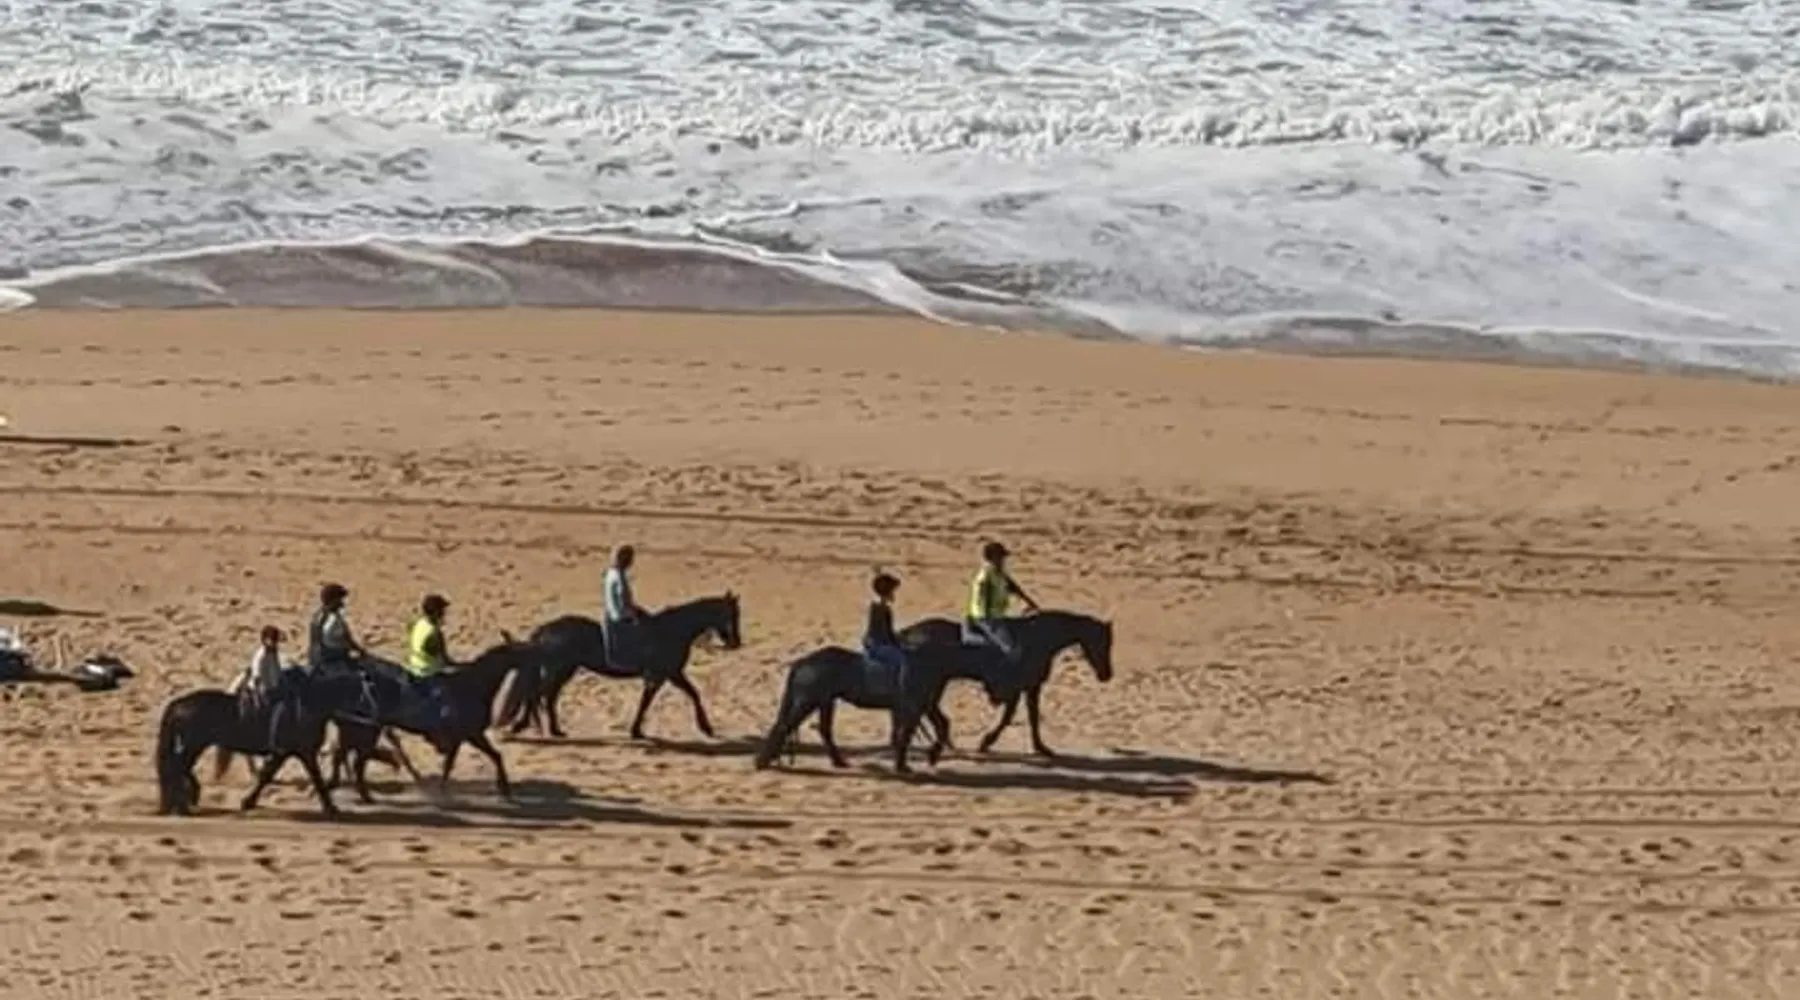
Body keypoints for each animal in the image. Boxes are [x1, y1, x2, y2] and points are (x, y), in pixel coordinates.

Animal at [153, 669, 368, 818]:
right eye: (365, 694)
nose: (367, 722)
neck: (307, 707)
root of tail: (179, 703)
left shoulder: (285, 752)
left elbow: (267, 775)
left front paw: (248, 802)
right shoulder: (302, 752)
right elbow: (315, 778)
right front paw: (332, 807)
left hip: (194, 746)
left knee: (179, 767)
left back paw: (184, 801)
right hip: (194, 745)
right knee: (176, 767)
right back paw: (183, 805)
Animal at [327, 635, 539, 800]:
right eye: (526, 655)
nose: (537, 672)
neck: (472, 686)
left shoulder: (462, 737)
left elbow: (470, 760)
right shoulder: (471, 734)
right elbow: (483, 758)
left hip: (359, 727)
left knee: (342, 753)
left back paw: (342, 785)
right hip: (366, 730)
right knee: (355, 759)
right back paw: (360, 791)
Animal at [495, 592, 742, 741]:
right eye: (731, 615)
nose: (736, 643)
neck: (672, 631)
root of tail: (547, 629)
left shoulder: (664, 675)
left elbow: (651, 700)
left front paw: (636, 730)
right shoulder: (667, 674)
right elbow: (689, 695)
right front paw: (706, 728)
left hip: (565, 670)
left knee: (547, 696)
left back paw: (553, 730)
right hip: (561, 669)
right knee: (540, 694)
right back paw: (524, 726)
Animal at [890, 609, 1115, 770]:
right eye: (1101, 643)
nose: (1107, 675)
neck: (1036, 639)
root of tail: (908, 634)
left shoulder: (1029, 687)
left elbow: (1030, 717)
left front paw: (1041, 748)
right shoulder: (1021, 687)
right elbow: (1011, 717)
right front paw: (986, 742)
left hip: (935, 683)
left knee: (926, 710)